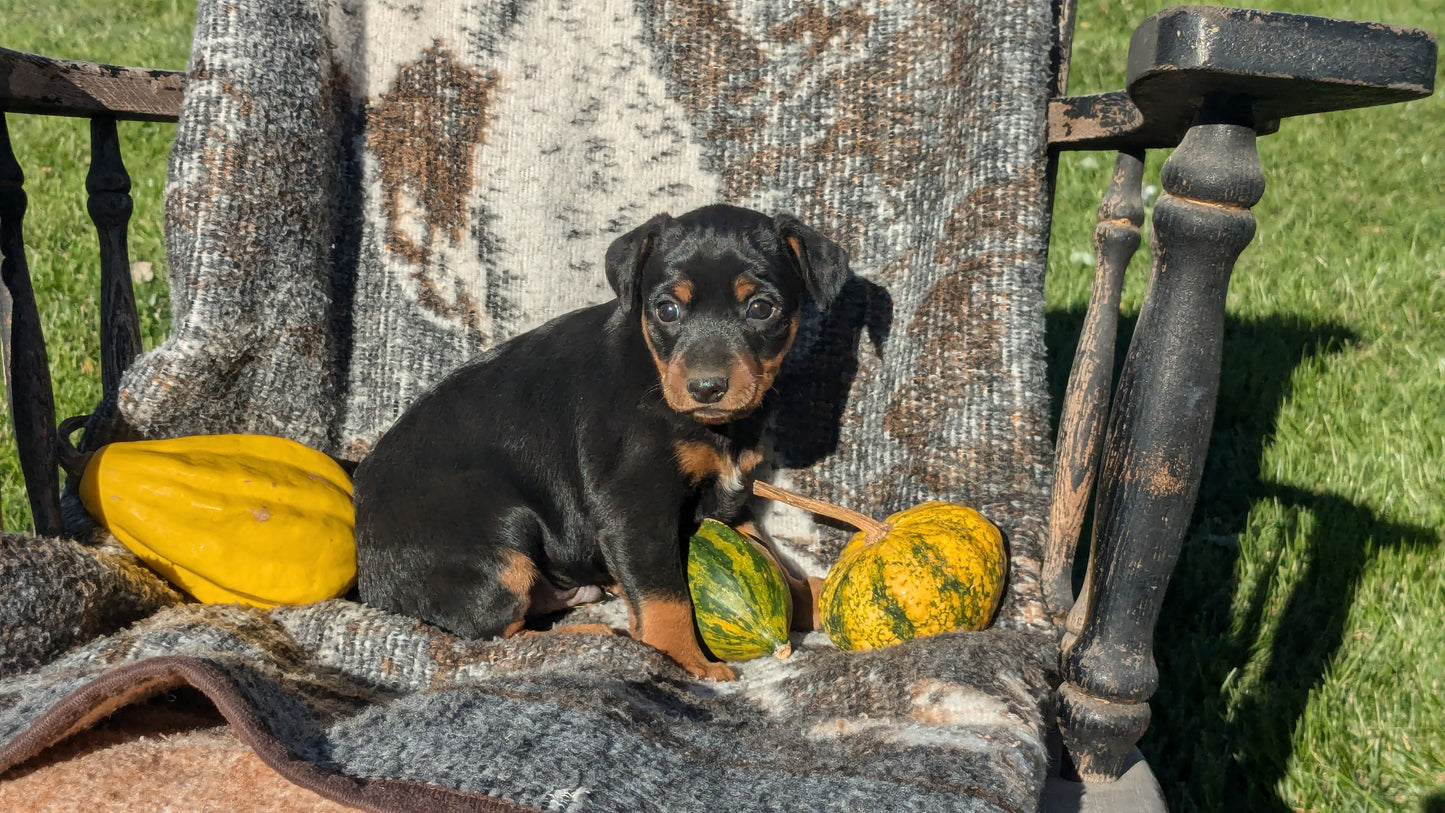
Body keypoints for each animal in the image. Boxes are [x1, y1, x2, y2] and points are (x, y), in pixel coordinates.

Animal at [352, 203, 843, 681]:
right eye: (667, 310)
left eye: (761, 308)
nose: (707, 388)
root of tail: (370, 579)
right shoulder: (632, 508)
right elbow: (666, 596)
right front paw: (687, 661)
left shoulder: (728, 494)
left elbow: (768, 557)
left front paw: (813, 599)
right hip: (499, 542)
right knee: (489, 634)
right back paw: (586, 634)